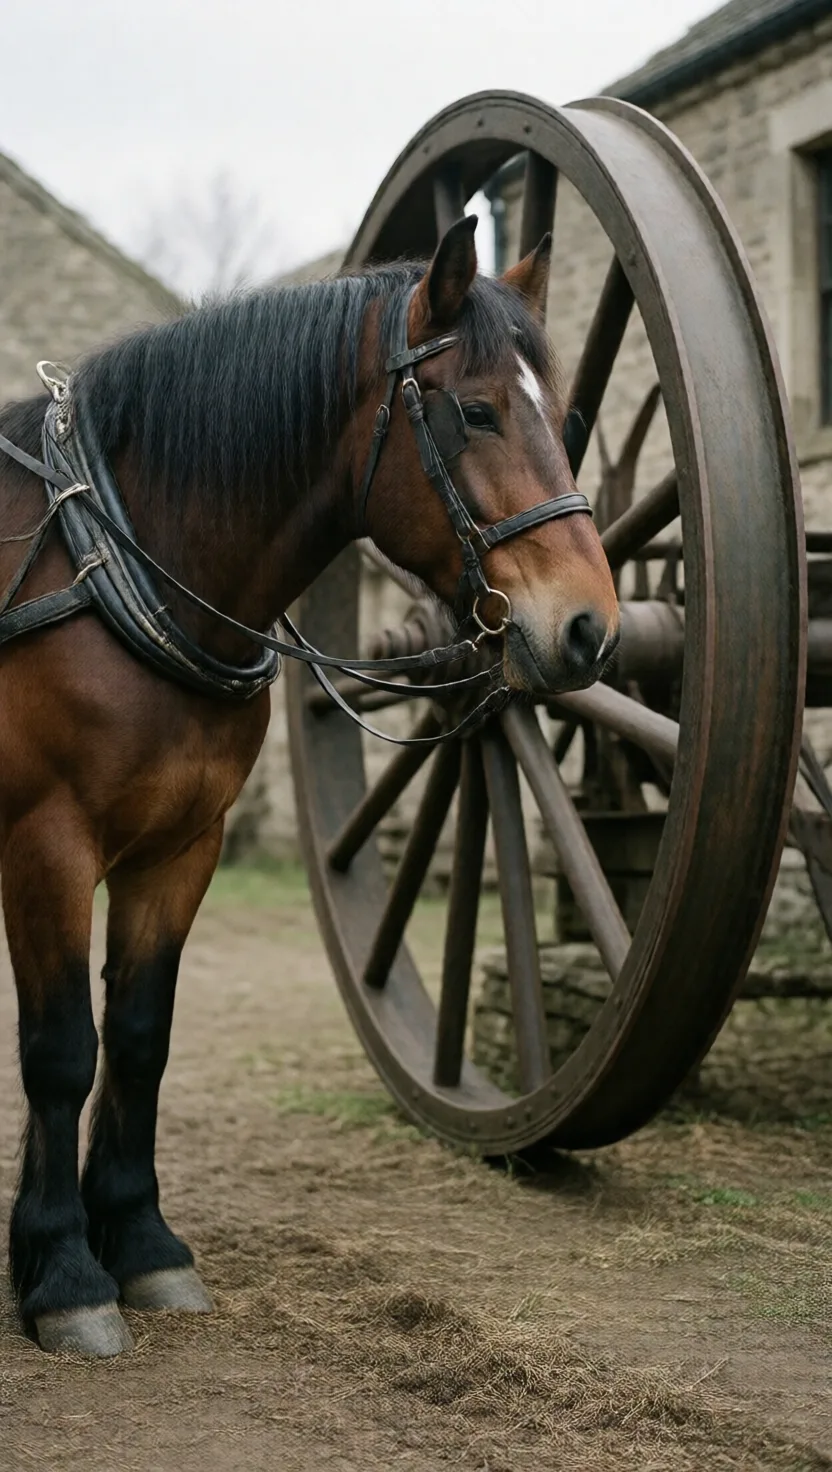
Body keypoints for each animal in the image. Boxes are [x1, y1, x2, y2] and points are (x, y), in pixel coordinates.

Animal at [0, 215, 619, 1357]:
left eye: (563, 416)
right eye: (475, 410)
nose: (589, 627)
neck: (109, 559)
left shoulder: (182, 846)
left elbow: (140, 1037)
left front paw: (139, 1243)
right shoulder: (46, 842)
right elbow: (63, 1048)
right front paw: (63, 1272)